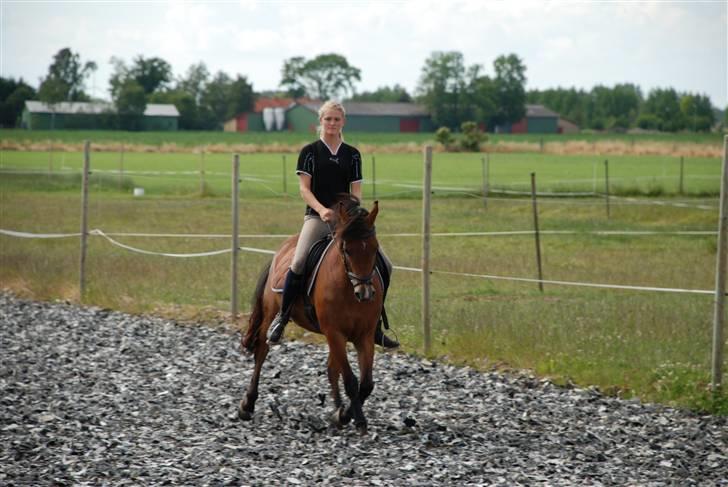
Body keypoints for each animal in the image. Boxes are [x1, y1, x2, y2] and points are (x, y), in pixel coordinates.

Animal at [240, 196, 386, 436]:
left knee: (332, 368)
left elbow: (366, 384)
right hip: (271, 312)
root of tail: (283, 247)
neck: (348, 287)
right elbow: (351, 380)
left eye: (374, 249)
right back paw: (247, 405)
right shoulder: (334, 332)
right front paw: (354, 418)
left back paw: (337, 408)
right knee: (261, 350)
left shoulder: (364, 335)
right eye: (347, 250)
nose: (364, 293)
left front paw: (343, 415)